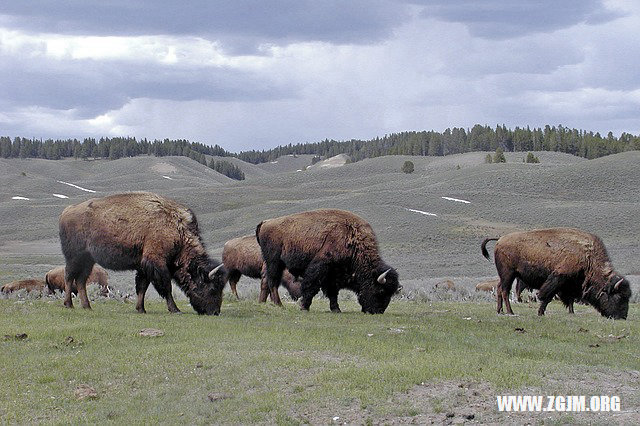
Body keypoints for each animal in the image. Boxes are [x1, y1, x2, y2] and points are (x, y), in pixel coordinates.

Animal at [58, 191, 228, 314]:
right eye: (212, 288)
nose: (214, 312)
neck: (177, 229)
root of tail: (67, 210)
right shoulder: (156, 262)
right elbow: (166, 287)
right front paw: (175, 309)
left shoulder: (144, 266)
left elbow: (142, 287)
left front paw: (141, 309)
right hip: (74, 257)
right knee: (69, 277)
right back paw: (69, 304)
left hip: (88, 260)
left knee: (80, 280)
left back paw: (87, 306)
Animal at [256, 209, 400, 312]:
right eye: (381, 291)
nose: (378, 311)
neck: (353, 239)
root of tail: (266, 222)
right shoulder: (321, 267)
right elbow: (311, 286)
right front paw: (304, 307)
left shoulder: (333, 275)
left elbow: (333, 292)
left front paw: (336, 309)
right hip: (274, 261)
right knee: (273, 281)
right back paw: (279, 305)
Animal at [480, 228, 632, 318]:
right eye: (619, 297)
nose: (622, 317)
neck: (588, 257)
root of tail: (501, 239)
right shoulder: (558, 279)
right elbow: (547, 296)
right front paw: (541, 313)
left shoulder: (570, 284)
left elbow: (569, 299)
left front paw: (571, 312)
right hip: (509, 274)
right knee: (505, 291)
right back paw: (510, 312)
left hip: (506, 276)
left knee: (499, 289)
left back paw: (500, 311)